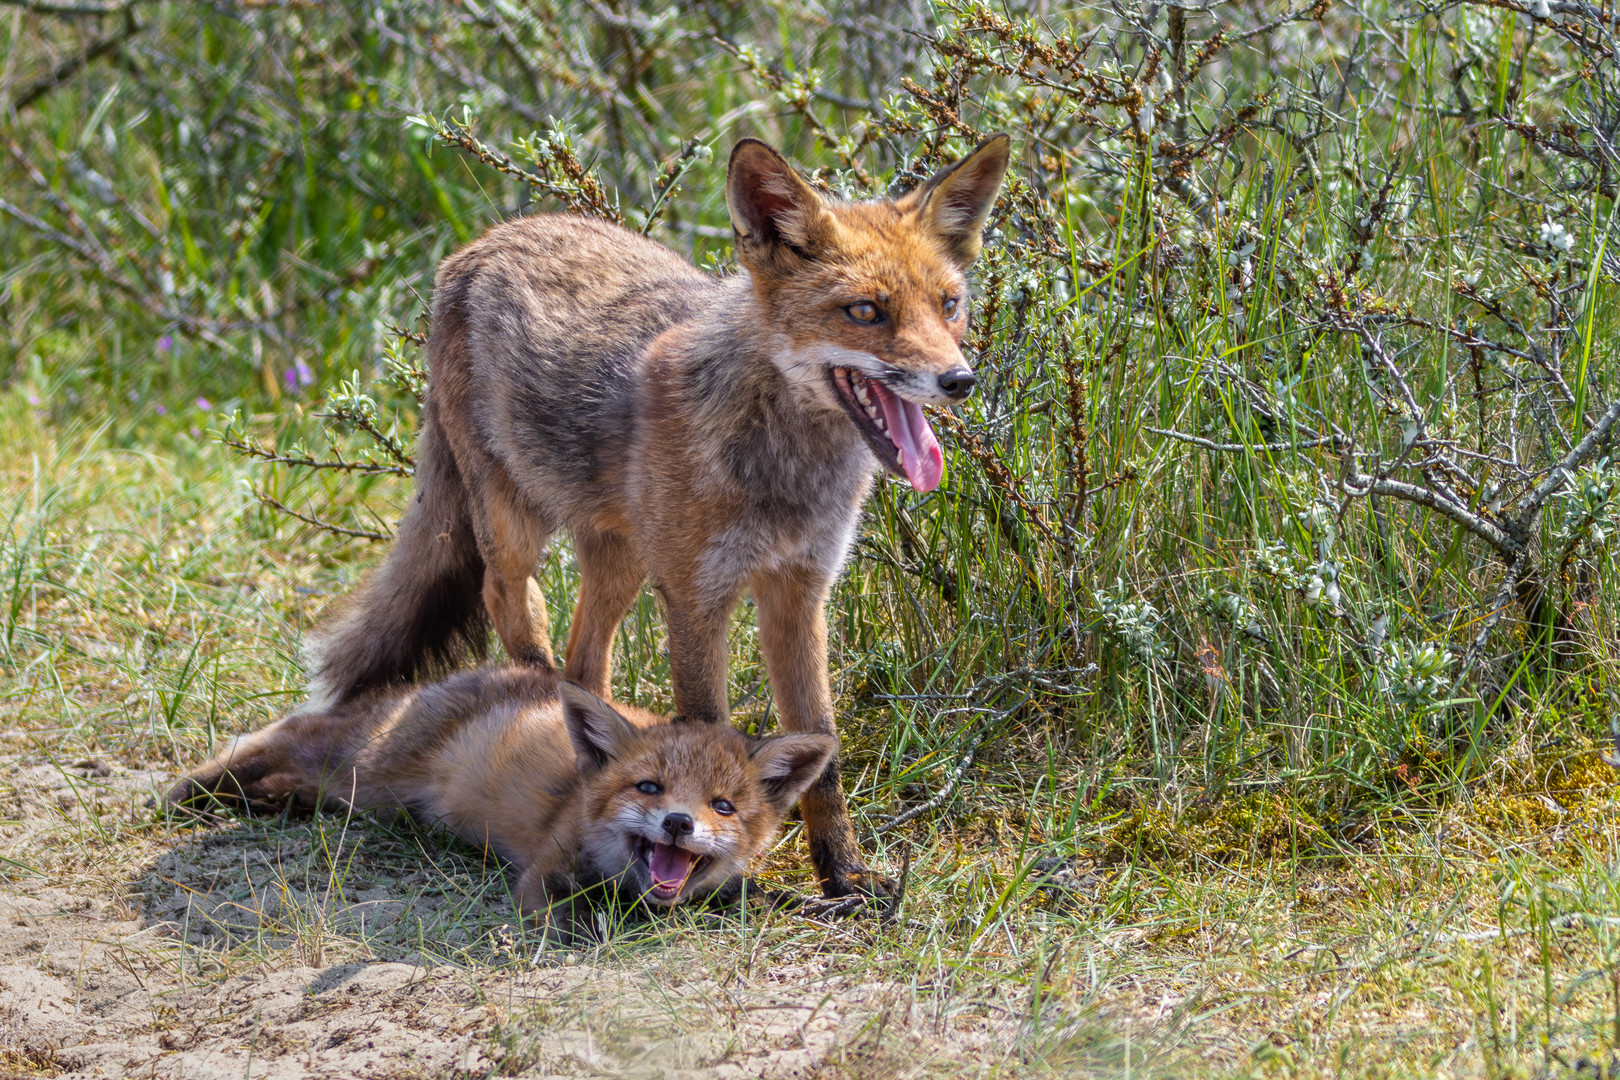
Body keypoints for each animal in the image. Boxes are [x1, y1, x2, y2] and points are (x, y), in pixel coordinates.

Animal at [307, 132, 1004, 893]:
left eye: (949, 305)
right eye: (867, 312)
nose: (960, 381)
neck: (783, 473)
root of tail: (486, 240)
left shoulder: (799, 592)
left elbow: (825, 752)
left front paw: (843, 876)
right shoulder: (697, 598)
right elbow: (704, 730)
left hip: (623, 560)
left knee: (584, 660)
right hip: (516, 526)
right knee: (512, 605)